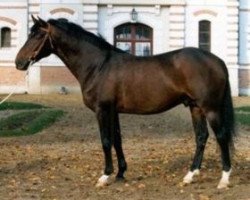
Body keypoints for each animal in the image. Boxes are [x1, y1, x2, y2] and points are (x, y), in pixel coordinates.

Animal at [15, 16, 234, 189]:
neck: (98, 65)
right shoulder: (114, 111)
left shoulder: (102, 110)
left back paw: (223, 179)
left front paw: (105, 176)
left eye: (37, 35)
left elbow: (105, 141)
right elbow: (117, 140)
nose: (19, 62)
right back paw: (190, 175)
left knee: (221, 136)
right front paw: (120, 173)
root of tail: (218, 61)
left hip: (211, 108)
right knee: (201, 137)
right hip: (195, 107)